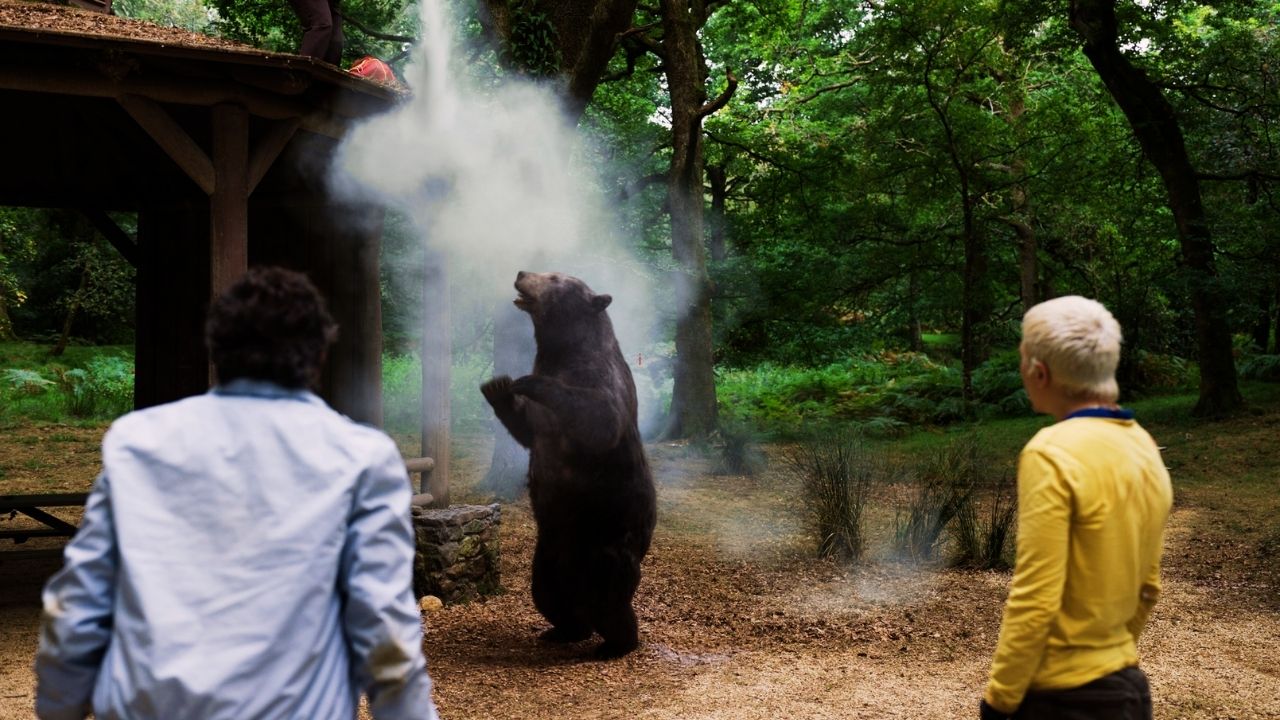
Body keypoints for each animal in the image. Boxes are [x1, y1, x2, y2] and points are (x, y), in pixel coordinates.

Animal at [480, 271, 657, 659]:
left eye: (555, 277)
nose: (521, 273)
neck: (562, 351)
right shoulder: (541, 421)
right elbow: (527, 429)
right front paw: (497, 386)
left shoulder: (600, 379)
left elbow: (599, 417)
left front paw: (525, 381)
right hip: (548, 549)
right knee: (548, 593)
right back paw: (563, 630)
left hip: (605, 541)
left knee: (611, 601)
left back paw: (616, 644)